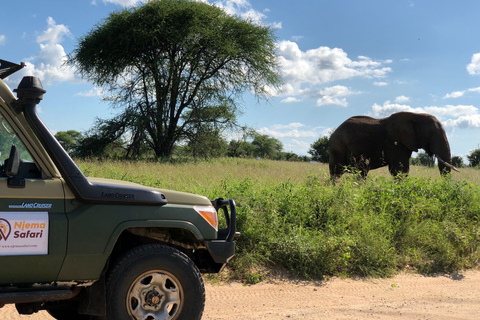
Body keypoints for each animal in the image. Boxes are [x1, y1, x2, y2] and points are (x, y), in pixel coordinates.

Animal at [328, 111, 460, 179]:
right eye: (431, 133)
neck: (416, 115)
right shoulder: (393, 142)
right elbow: (400, 170)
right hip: (337, 147)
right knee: (337, 172)